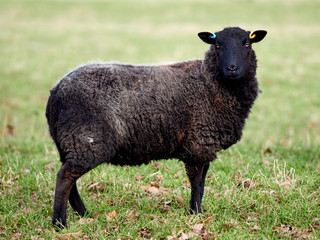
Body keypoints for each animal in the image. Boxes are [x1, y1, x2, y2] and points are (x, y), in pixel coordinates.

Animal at [44, 26, 264, 229]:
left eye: (247, 43)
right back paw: (59, 223)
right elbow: (196, 183)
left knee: (70, 180)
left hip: (71, 143)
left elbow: (201, 184)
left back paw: (84, 214)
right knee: (65, 178)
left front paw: (197, 212)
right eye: (217, 44)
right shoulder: (197, 145)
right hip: (86, 140)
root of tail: (56, 91)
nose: (232, 68)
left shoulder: (204, 147)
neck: (208, 83)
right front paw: (195, 214)